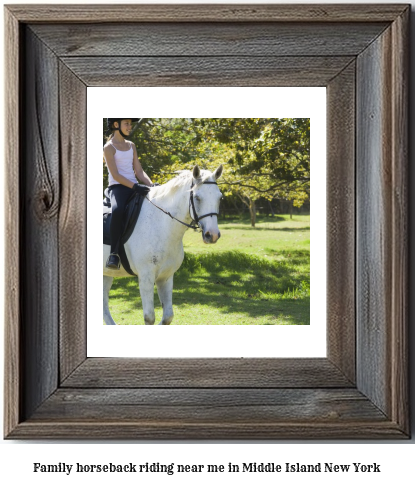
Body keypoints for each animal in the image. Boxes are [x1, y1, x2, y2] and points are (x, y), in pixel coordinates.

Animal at [103, 166, 224, 326]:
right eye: (197, 197)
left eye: (219, 198)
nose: (213, 235)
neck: (160, 223)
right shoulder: (146, 277)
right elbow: (149, 317)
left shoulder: (165, 277)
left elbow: (167, 317)